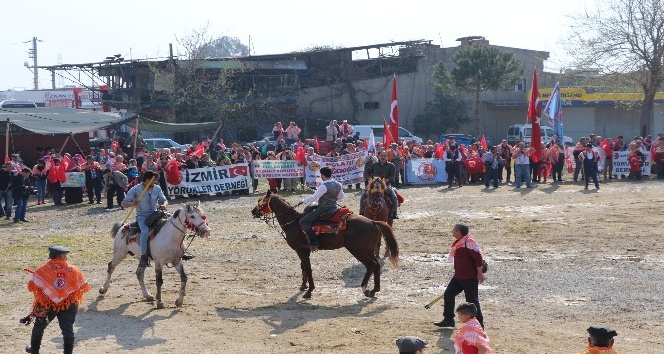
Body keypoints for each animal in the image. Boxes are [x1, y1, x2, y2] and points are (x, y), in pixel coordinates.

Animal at [250, 191, 396, 298]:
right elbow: (303, 267)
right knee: (376, 265)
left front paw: (309, 291)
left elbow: (308, 268)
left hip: (358, 251)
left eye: (261, 201)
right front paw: (303, 286)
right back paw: (374, 289)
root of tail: (372, 222)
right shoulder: (302, 251)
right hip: (369, 250)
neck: (294, 223)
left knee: (371, 265)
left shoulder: (302, 251)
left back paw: (365, 288)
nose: (253, 211)